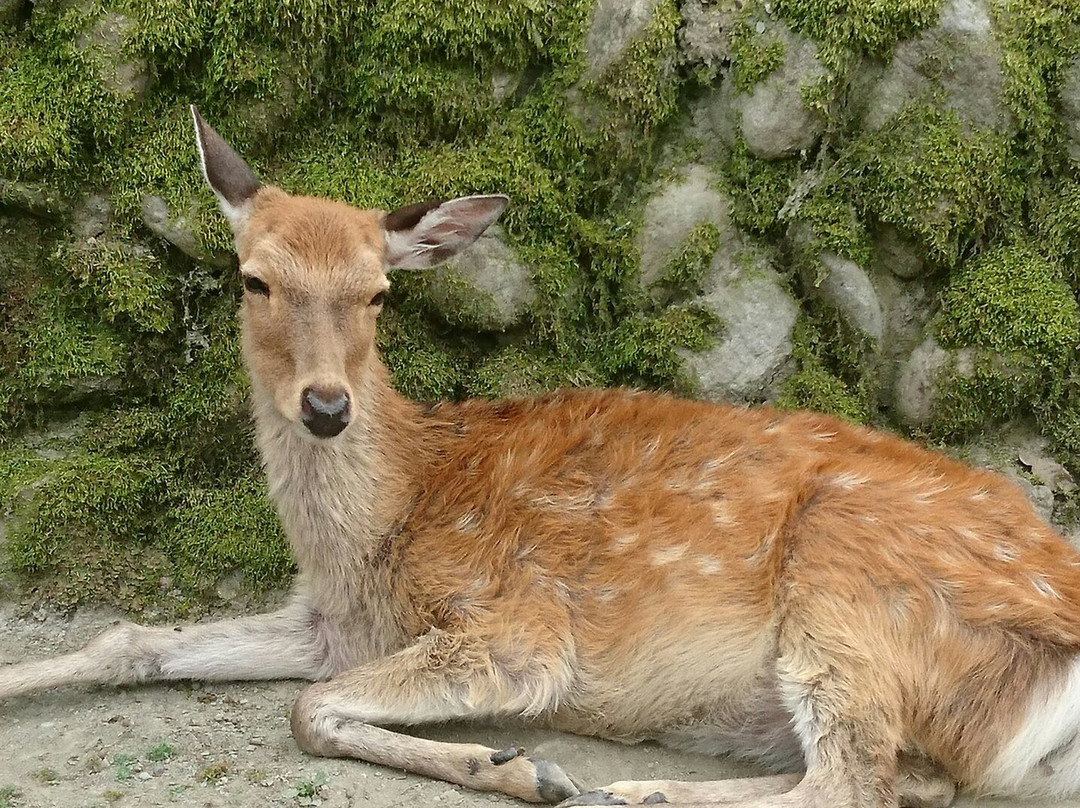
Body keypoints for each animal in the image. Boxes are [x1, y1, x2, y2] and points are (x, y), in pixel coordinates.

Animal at [2, 109, 1080, 808]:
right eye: (254, 278)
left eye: (378, 291)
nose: (326, 405)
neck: (380, 529)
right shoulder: (331, 622)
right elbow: (134, 640)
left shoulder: (518, 625)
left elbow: (308, 711)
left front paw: (520, 767)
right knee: (912, 779)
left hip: (850, 588)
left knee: (855, 783)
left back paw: (629, 790)